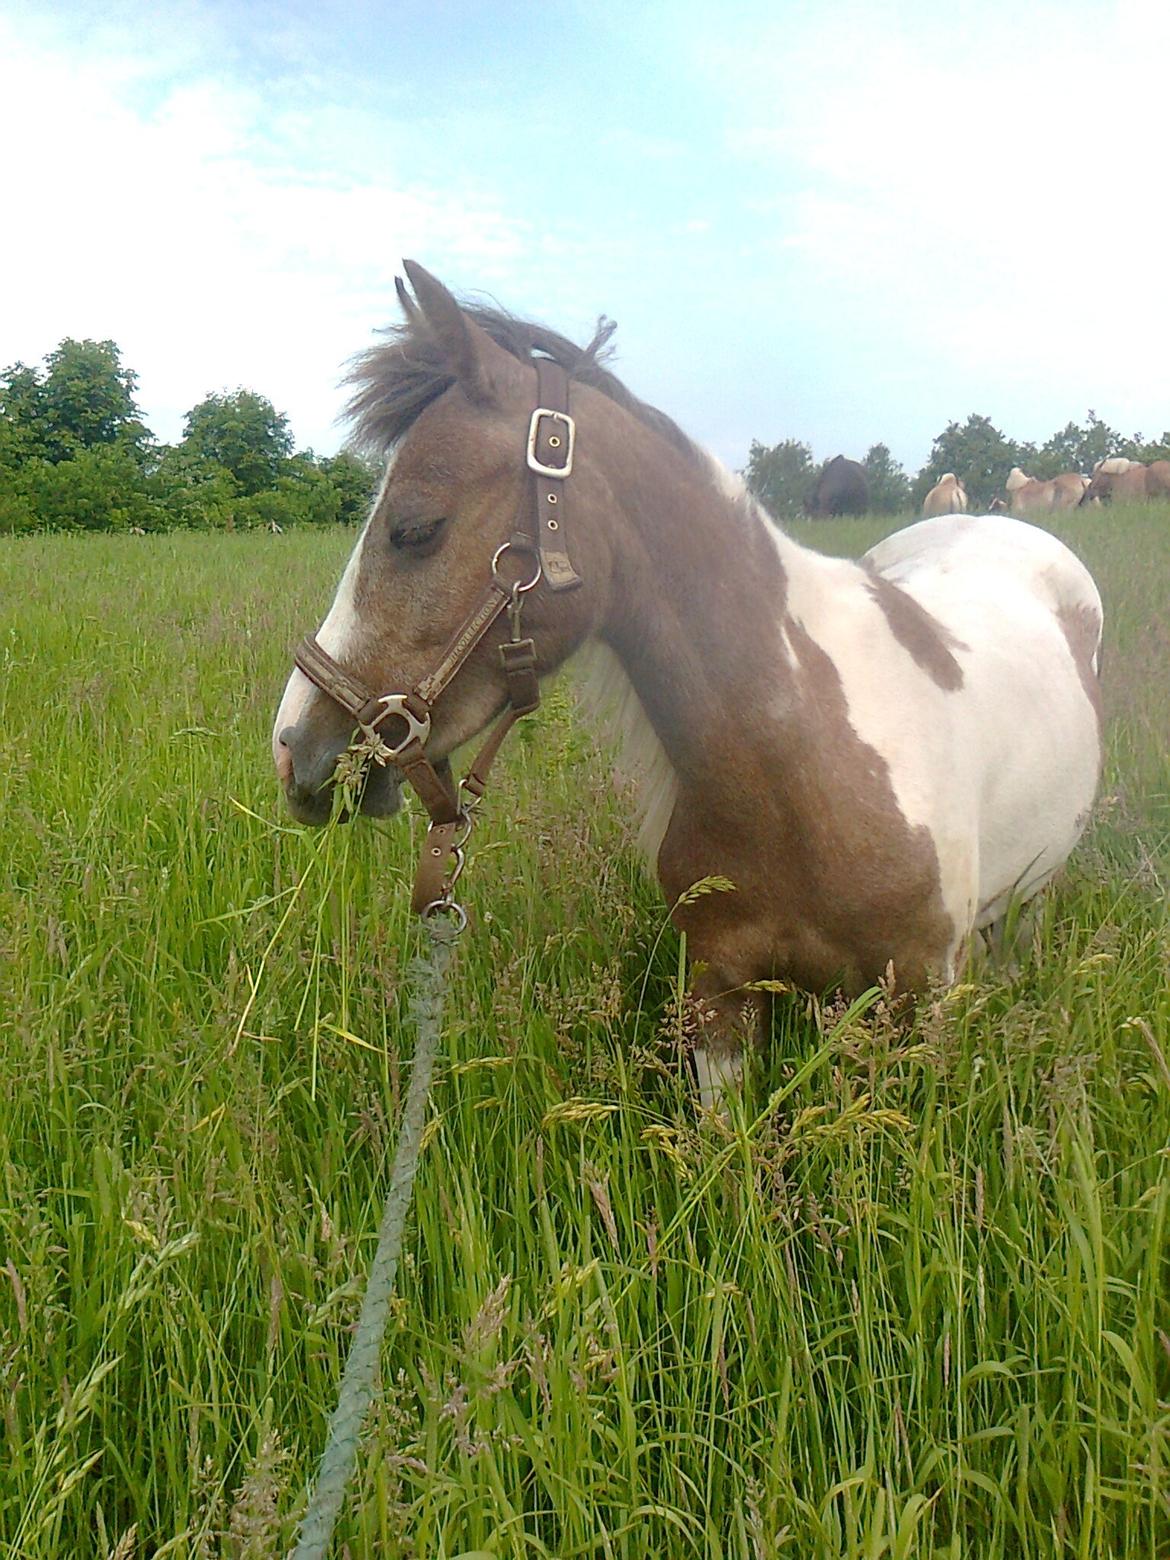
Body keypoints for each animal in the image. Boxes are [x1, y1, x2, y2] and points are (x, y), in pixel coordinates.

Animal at [274, 262, 1110, 1110]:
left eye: (415, 528)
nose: (296, 750)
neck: (803, 761)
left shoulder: (916, 1006)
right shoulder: (720, 996)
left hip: (1025, 904)